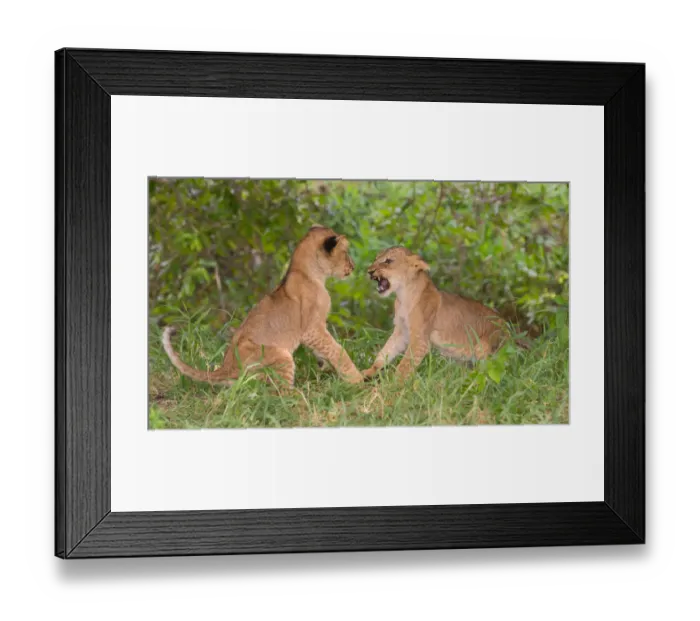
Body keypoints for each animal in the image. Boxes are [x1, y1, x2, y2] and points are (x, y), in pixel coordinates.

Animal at [162, 226, 364, 388]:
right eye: (346, 253)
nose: (353, 266)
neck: (306, 272)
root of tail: (226, 368)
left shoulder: (314, 332)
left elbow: (325, 351)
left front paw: (327, 367)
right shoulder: (312, 328)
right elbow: (338, 350)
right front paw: (356, 379)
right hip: (281, 355)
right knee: (279, 393)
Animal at [363, 246, 505, 379]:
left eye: (388, 261)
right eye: (376, 259)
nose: (369, 271)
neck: (403, 296)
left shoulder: (420, 340)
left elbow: (404, 366)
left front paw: (392, 384)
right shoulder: (401, 331)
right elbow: (386, 351)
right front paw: (369, 372)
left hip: (485, 350)